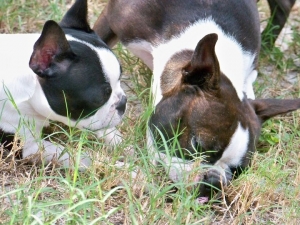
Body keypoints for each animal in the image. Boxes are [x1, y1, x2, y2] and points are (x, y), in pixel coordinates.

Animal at [0, 0, 126, 168]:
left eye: (120, 78)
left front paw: (120, 142)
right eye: (100, 98)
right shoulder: (30, 147)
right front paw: (122, 167)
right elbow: (82, 157)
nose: (123, 102)